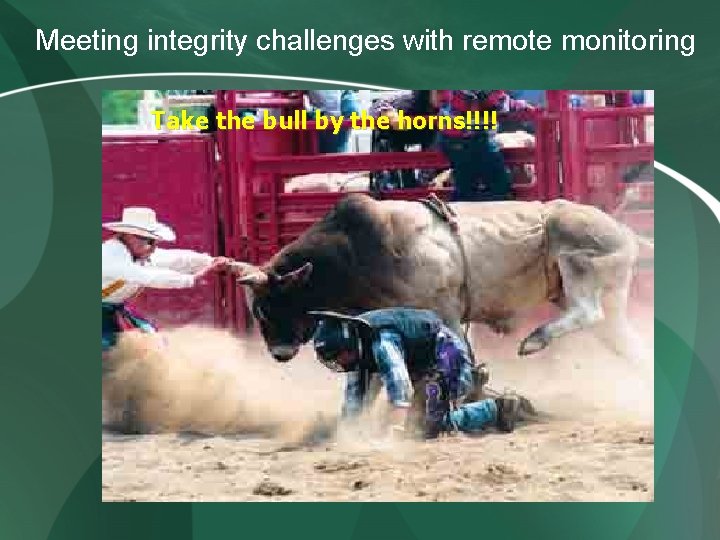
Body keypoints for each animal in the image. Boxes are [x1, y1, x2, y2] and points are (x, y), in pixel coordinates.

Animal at [231, 193, 644, 364]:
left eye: (267, 308)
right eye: (257, 311)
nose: (278, 353)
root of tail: (625, 230)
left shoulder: (445, 311)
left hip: (578, 260)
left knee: (587, 311)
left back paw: (534, 340)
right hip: (604, 296)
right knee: (624, 339)